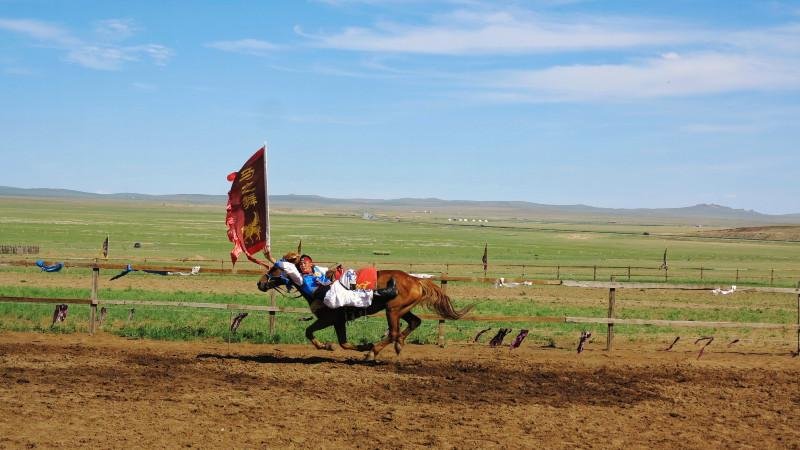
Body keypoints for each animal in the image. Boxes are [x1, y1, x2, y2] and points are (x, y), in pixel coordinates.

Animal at [256, 260, 472, 358]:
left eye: (275, 268)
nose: (260, 283)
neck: (319, 286)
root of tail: (416, 280)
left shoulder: (329, 319)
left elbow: (309, 331)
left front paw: (327, 346)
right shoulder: (339, 321)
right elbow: (343, 343)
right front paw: (355, 346)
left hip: (392, 310)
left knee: (394, 332)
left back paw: (375, 351)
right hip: (402, 309)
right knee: (414, 322)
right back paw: (398, 345)